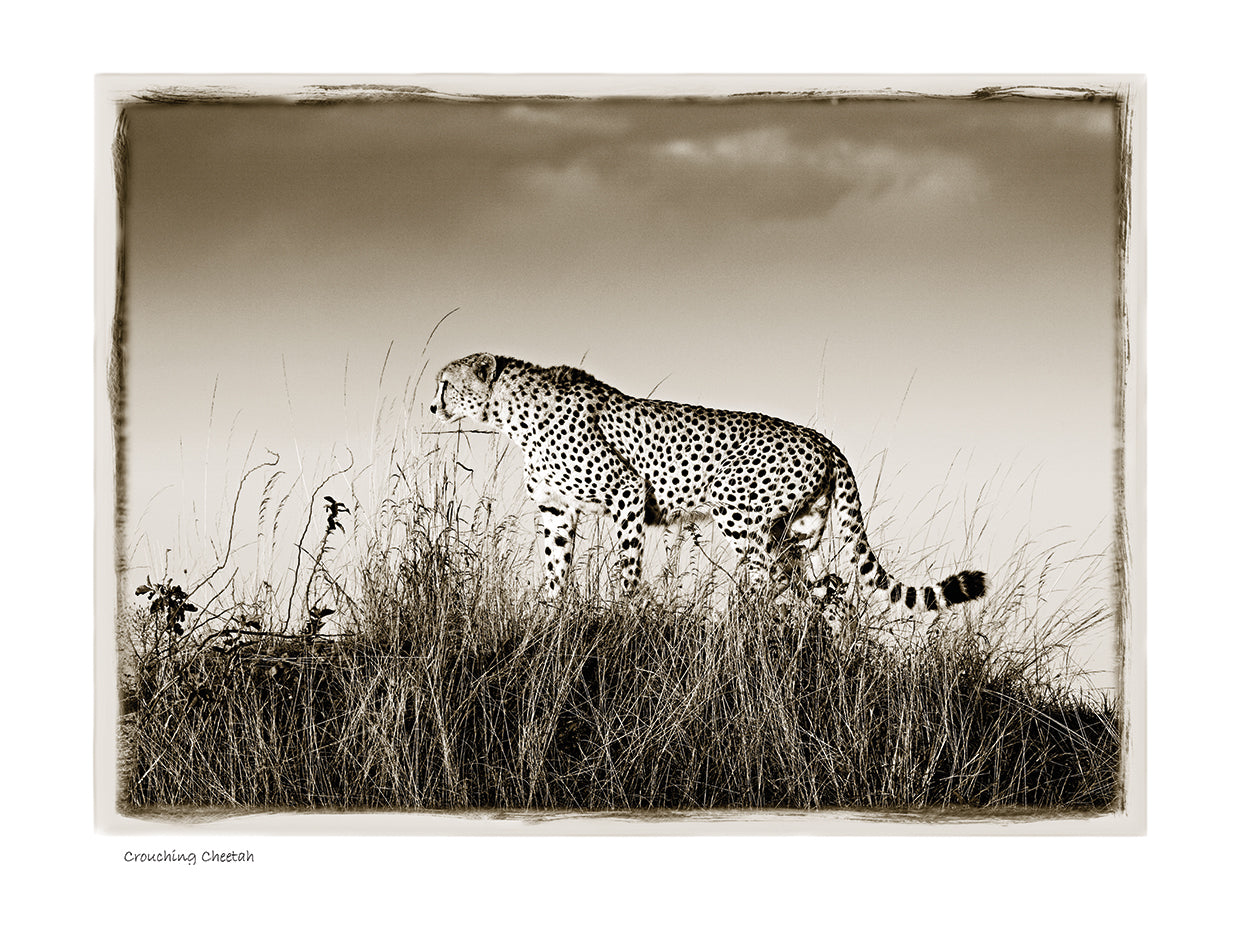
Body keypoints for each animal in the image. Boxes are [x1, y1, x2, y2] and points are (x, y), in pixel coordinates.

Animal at [430, 352, 987, 612]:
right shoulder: (555, 510)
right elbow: (553, 568)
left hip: (739, 513)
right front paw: (549, 616)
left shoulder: (628, 492)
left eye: (445, 384)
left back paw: (749, 636)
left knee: (768, 586)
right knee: (825, 590)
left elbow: (627, 567)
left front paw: (627, 613)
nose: (432, 406)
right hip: (796, 535)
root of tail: (823, 439)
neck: (512, 412)